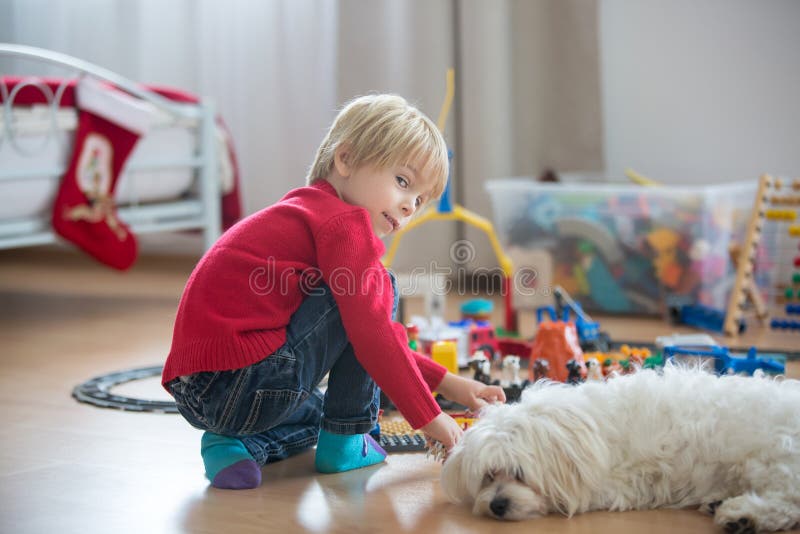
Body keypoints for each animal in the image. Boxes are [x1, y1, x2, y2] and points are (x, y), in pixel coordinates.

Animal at [444, 366, 800, 532]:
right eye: (489, 476)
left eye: (518, 473)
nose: (497, 505)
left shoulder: (625, 481)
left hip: (772, 460)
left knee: (788, 503)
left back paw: (743, 516)